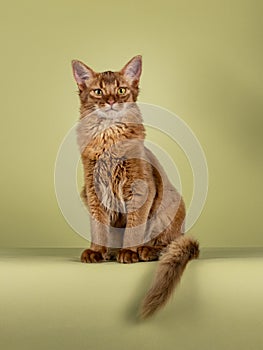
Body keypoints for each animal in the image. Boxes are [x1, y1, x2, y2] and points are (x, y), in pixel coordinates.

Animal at [72, 55, 200, 320]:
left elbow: (133, 227)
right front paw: (96, 251)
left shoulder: (140, 190)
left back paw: (144, 251)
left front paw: (129, 252)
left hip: (170, 204)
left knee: (165, 243)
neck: (109, 137)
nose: (111, 101)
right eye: (98, 91)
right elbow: (98, 229)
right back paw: (109, 251)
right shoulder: (93, 192)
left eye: (121, 90)